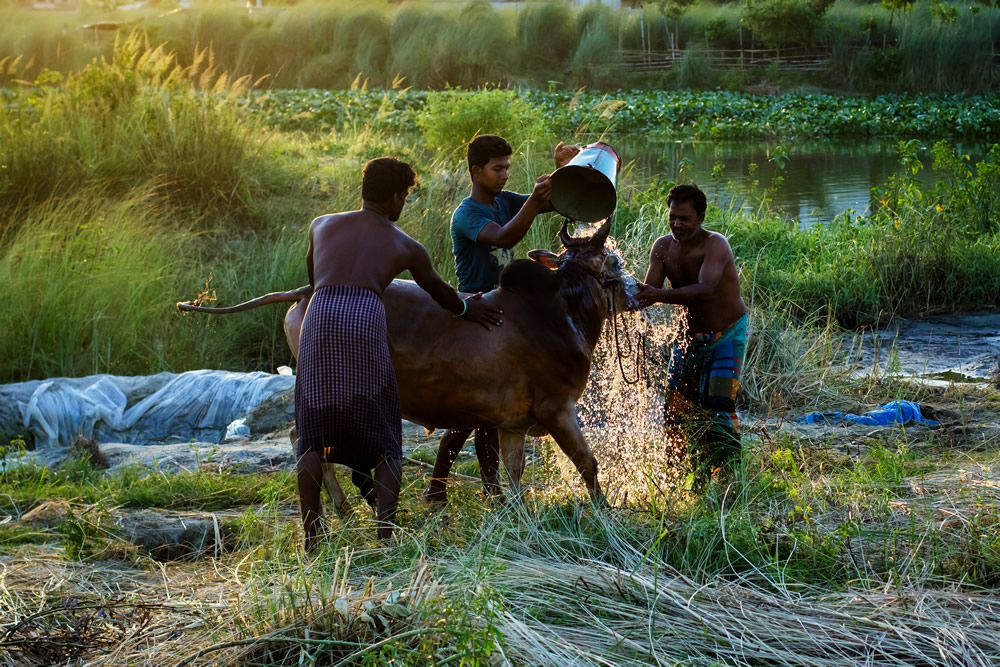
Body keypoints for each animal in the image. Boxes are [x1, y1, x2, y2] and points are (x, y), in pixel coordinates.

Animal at [179, 222, 632, 516]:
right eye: (614, 261)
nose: (639, 290)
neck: (562, 310)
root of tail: (305, 290)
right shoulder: (558, 409)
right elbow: (587, 462)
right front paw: (605, 510)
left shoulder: (513, 423)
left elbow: (513, 467)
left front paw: (516, 511)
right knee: (304, 439)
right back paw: (347, 505)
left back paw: (348, 506)